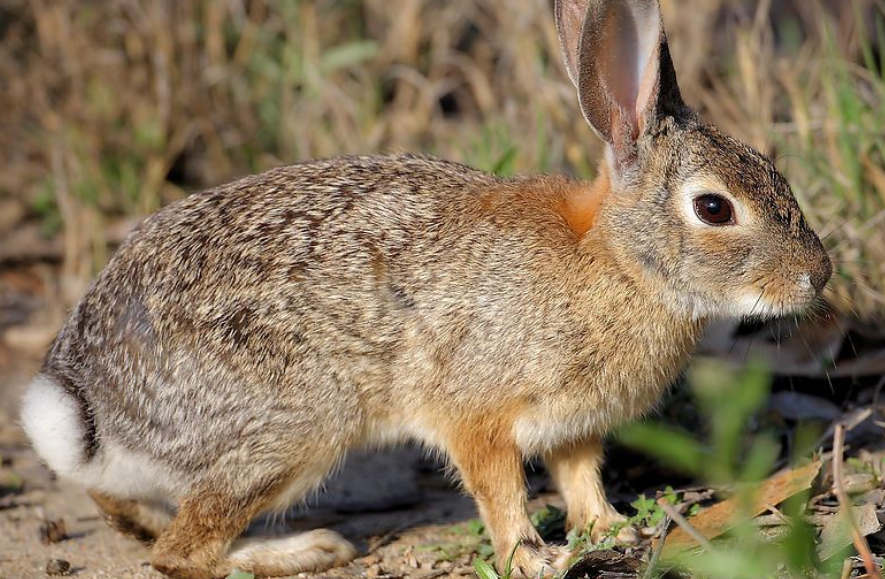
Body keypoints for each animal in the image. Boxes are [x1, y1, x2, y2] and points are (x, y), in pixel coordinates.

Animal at [20, 0, 832, 576]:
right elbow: (499, 489)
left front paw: (607, 527)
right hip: (293, 426)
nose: (815, 276)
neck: (617, 261)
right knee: (181, 553)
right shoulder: (476, 412)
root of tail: (89, 405)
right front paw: (534, 557)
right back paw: (304, 550)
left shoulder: (573, 427)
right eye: (714, 209)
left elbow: (579, 477)